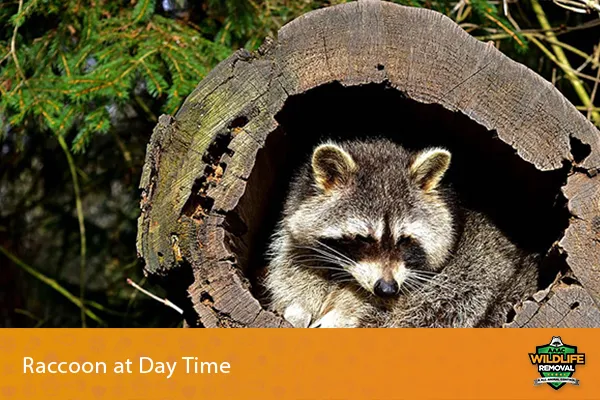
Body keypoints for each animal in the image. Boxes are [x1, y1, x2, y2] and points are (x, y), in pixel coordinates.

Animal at [264, 139, 536, 326]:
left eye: (405, 240)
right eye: (363, 238)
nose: (387, 288)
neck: (343, 275)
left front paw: (341, 316)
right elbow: (294, 272)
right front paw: (298, 307)